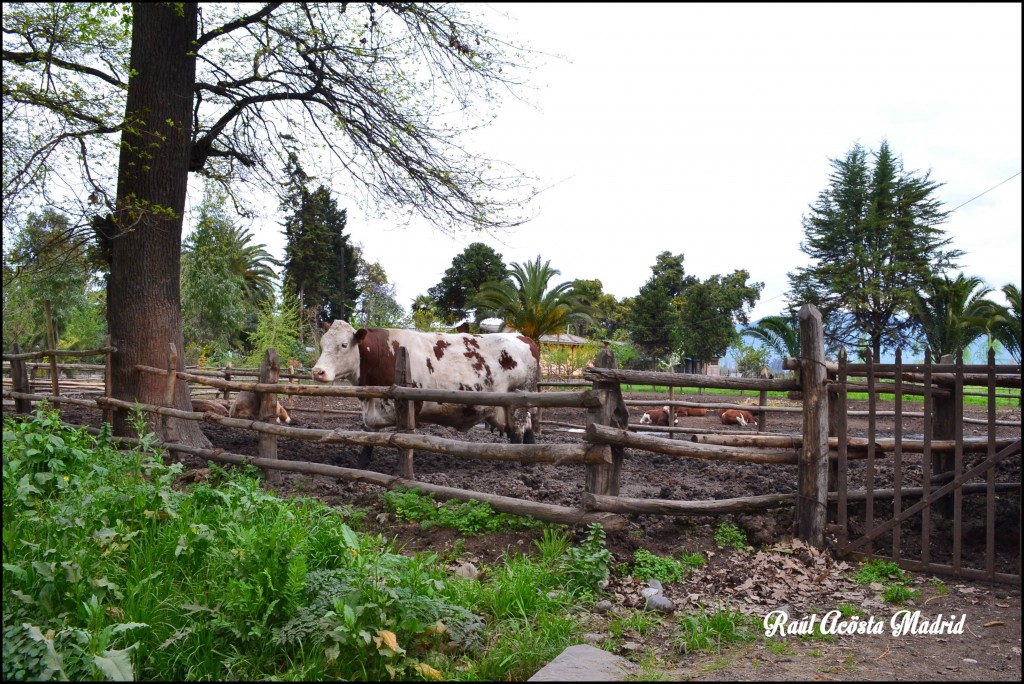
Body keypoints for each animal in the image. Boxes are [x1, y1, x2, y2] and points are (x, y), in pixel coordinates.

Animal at [311, 323, 540, 466]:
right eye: (322, 345)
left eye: (343, 345)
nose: (317, 371)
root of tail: (524, 338)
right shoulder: (371, 411)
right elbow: (367, 439)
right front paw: (361, 465)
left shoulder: (410, 406)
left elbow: (405, 440)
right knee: (527, 429)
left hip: (520, 401)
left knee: (519, 431)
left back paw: (515, 464)